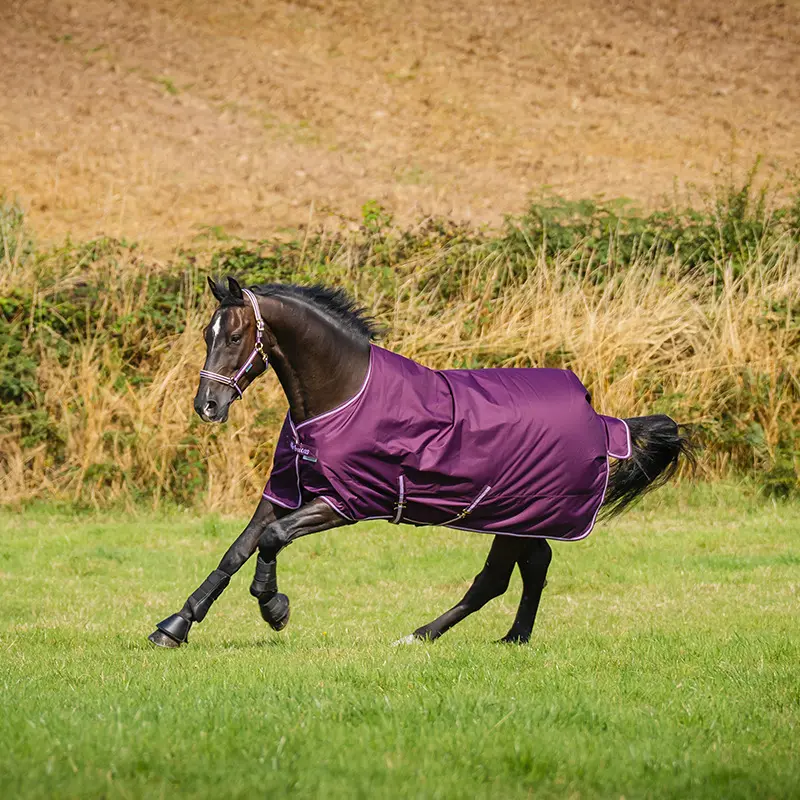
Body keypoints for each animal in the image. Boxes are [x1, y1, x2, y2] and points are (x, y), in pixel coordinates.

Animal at [148, 277, 694, 648]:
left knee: (500, 576)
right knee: (531, 566)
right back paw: (507, 637)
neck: (341, 396)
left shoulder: (346, 501)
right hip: (519, 516)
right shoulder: (286, 489)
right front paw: (174, 626)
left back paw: (423, 634)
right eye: (206, 333)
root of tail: (598, 416)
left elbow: (273, 539)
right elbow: (237, 550)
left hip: (520, 512)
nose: (207, 406)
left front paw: (274, 608)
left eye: (234, 336)